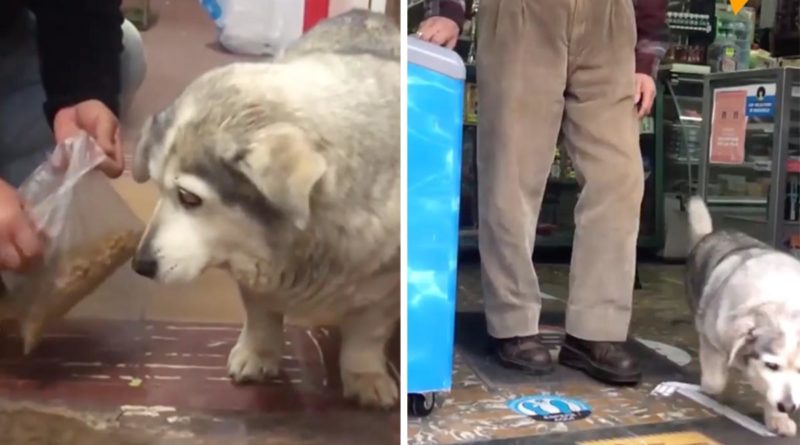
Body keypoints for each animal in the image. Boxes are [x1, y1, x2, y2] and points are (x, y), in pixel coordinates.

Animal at [130, 9, 400, 410]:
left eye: (189, 198)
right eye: (157, 188)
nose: (140, 265)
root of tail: (362, 12)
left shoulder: (385, 285)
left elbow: (366, 334)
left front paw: (364, 374)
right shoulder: (252, 269)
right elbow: (261, 313)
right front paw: (259, 352)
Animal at [684, 196, 800, 436]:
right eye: (772, 366)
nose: (788, 407)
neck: (780, 305)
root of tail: (710, 234)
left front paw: (778, 418)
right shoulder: (711, 338)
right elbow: (714, 382)